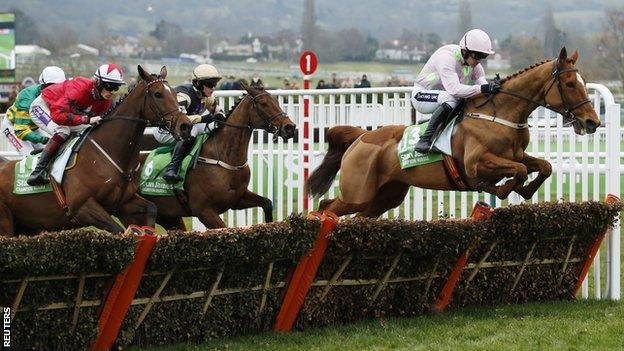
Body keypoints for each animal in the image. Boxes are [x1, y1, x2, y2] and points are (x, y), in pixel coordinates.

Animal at [0, 66, 193, 236]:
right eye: (158, 94)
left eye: (174, 93)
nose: (185, 126)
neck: (108, 152)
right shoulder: (82, 207)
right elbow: (120, 231)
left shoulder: (122, 202)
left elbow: (151, 209)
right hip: (6, 225)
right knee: (59, 130)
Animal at [124, 84, 298, 230]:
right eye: (263, 103)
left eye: (276, 101)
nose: (290, 127)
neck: (226, 158)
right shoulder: (204, 211)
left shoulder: (238, 199)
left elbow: (267, 203)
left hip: (169, 217)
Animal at [306, 46, 600, 217]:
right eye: (570, 83)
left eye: (584, 81)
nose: (592, 122)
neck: (499, 114)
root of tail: (361, 137)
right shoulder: (476, 163)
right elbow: (517, 172)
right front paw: (500, 190)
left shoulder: (516, 155)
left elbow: (543, 166)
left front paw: (525, 191)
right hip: (358, 194)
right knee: (326, 207)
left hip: (384, 197)